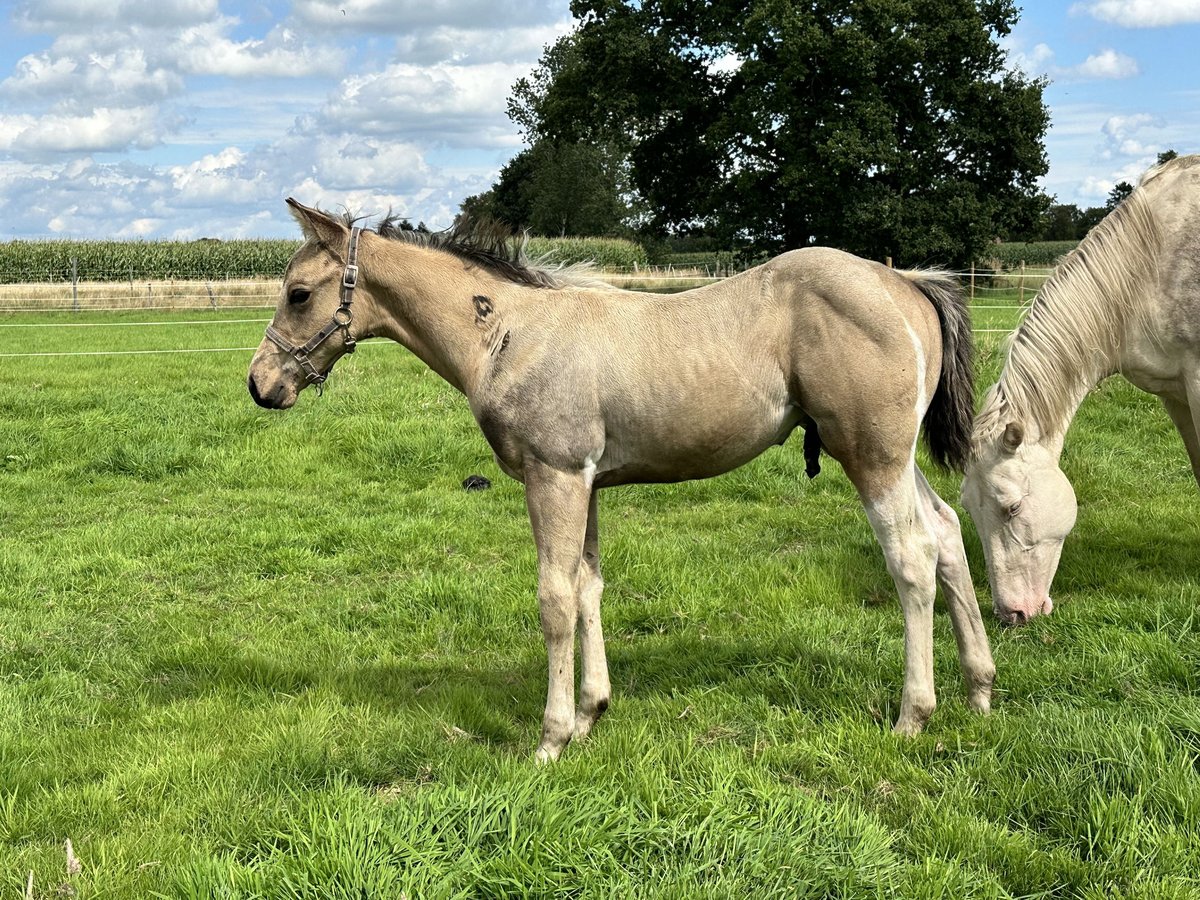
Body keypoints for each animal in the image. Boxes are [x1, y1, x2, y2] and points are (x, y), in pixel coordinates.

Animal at [247, 199, 994, 760]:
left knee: (912, 556)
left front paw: (550, 739)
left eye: (299, 294)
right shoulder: (586, 484)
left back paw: (914, 713)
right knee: (948, 534)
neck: (507, 334)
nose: (261, 385)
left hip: (872, 456)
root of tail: (905, 282)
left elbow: (554, 598)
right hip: (895, 457)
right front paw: (590, 714)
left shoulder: (552, 478)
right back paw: (981, 690)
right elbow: (588, 588)